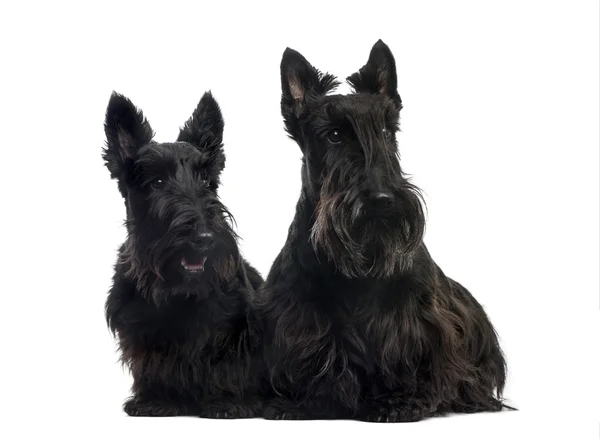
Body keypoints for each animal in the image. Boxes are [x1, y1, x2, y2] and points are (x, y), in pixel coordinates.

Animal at [103, 91, 262, 418]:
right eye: (157, 183)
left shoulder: (234, 328)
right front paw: (154, 399)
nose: (205, 239)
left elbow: (229, 364)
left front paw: (230, 401)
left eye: (206, 182)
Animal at [258, 41, 510, 422]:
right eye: (334, 135)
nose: (383, 200)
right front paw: (300, 402)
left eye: (386, 132)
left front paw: (400, 400)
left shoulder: (418, 321)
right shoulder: (298, 319)